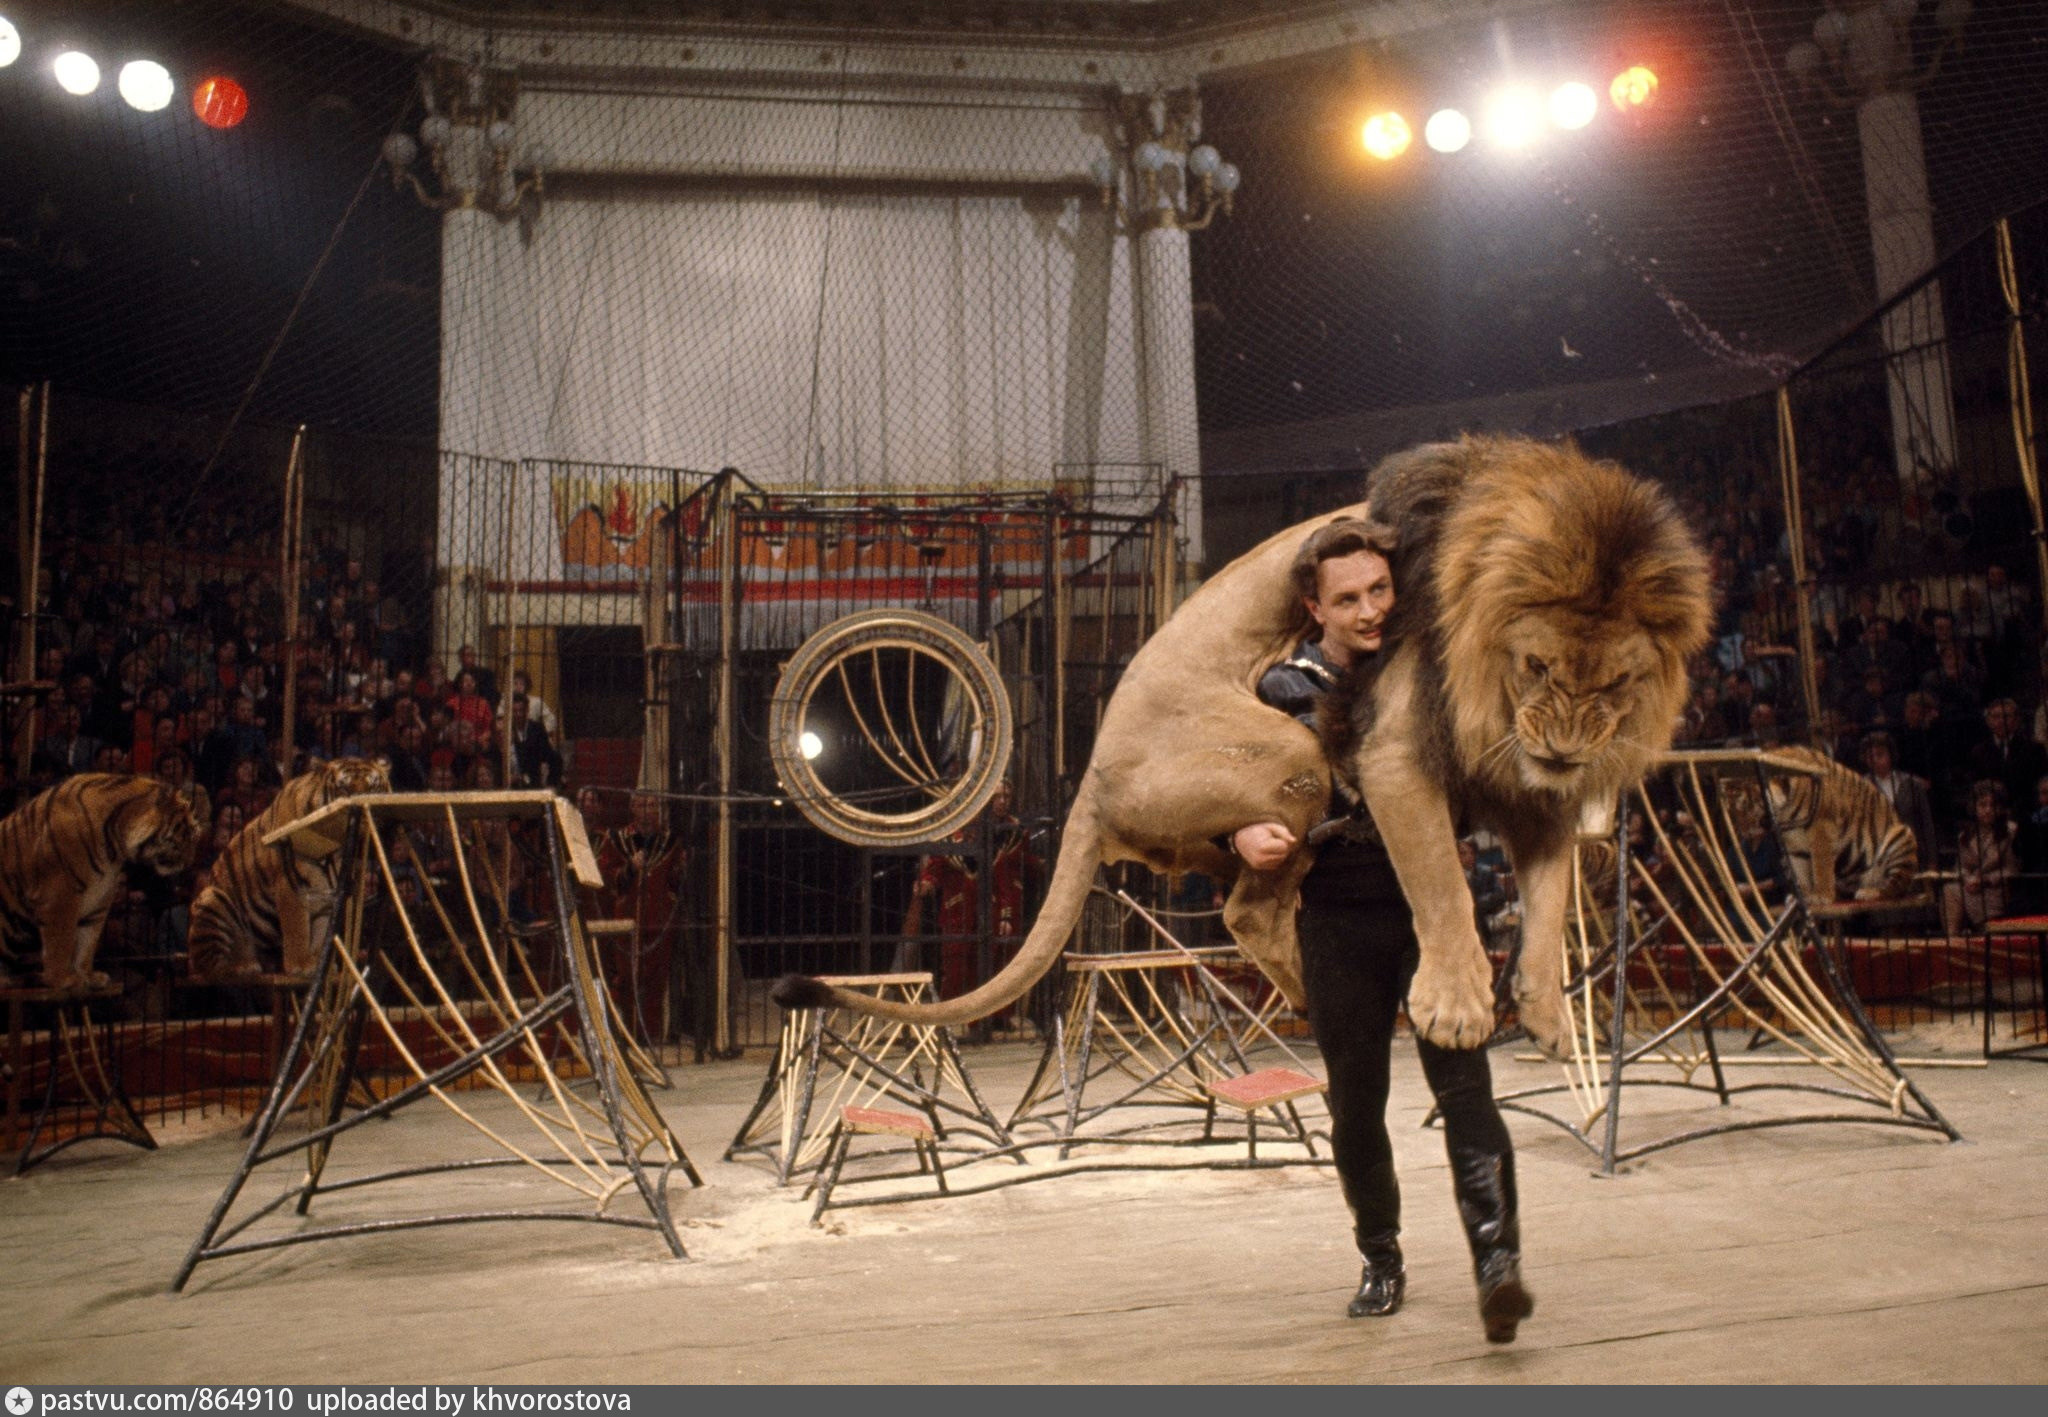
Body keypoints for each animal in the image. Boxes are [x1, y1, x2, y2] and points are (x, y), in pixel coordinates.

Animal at [0, 769, 203, 991]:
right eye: (187, 835)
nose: (190, 863)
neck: (115, 844)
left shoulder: (100, 897)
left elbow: (87, 941)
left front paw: (88, 976)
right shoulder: (60, 896)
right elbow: (60, 942)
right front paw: (63, 980)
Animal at [188, 757, 391, 978]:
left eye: (372, 786)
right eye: (344, 788)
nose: (362, 806)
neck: (337, 845)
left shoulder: (329, 892)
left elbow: (322, 933)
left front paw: (321, 966)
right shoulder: (290, 881)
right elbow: (297, 928)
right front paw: (301, 966)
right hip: (212, 898)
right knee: (205, 965)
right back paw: (239, 965)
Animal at [1728, 745, 1916, 900]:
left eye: (1745, 807)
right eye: (1732, 811)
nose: (1740, 832)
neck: (1784, 815)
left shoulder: (1822, 829)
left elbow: (1820, 866)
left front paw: (1822, 896)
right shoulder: (1791, 841)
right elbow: (1799, 868)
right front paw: (1805, 896)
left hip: (1900, 836)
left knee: (1898, 885)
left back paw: (1870, 892)